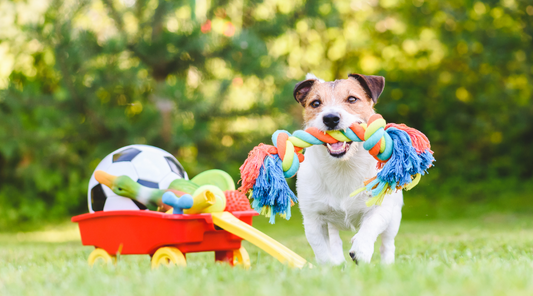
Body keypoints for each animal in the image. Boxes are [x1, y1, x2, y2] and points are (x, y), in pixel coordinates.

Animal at [294, 73, 402, 264]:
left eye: (352, 99)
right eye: (315, 103)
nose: (330, 118)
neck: (343, 166)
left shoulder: (381, 208)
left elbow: (370, 225)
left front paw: (361, 250)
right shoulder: (313, 219)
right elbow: (323, 252)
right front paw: (330, 267)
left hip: (394, 218)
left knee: (387, 245)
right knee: (335, 243)